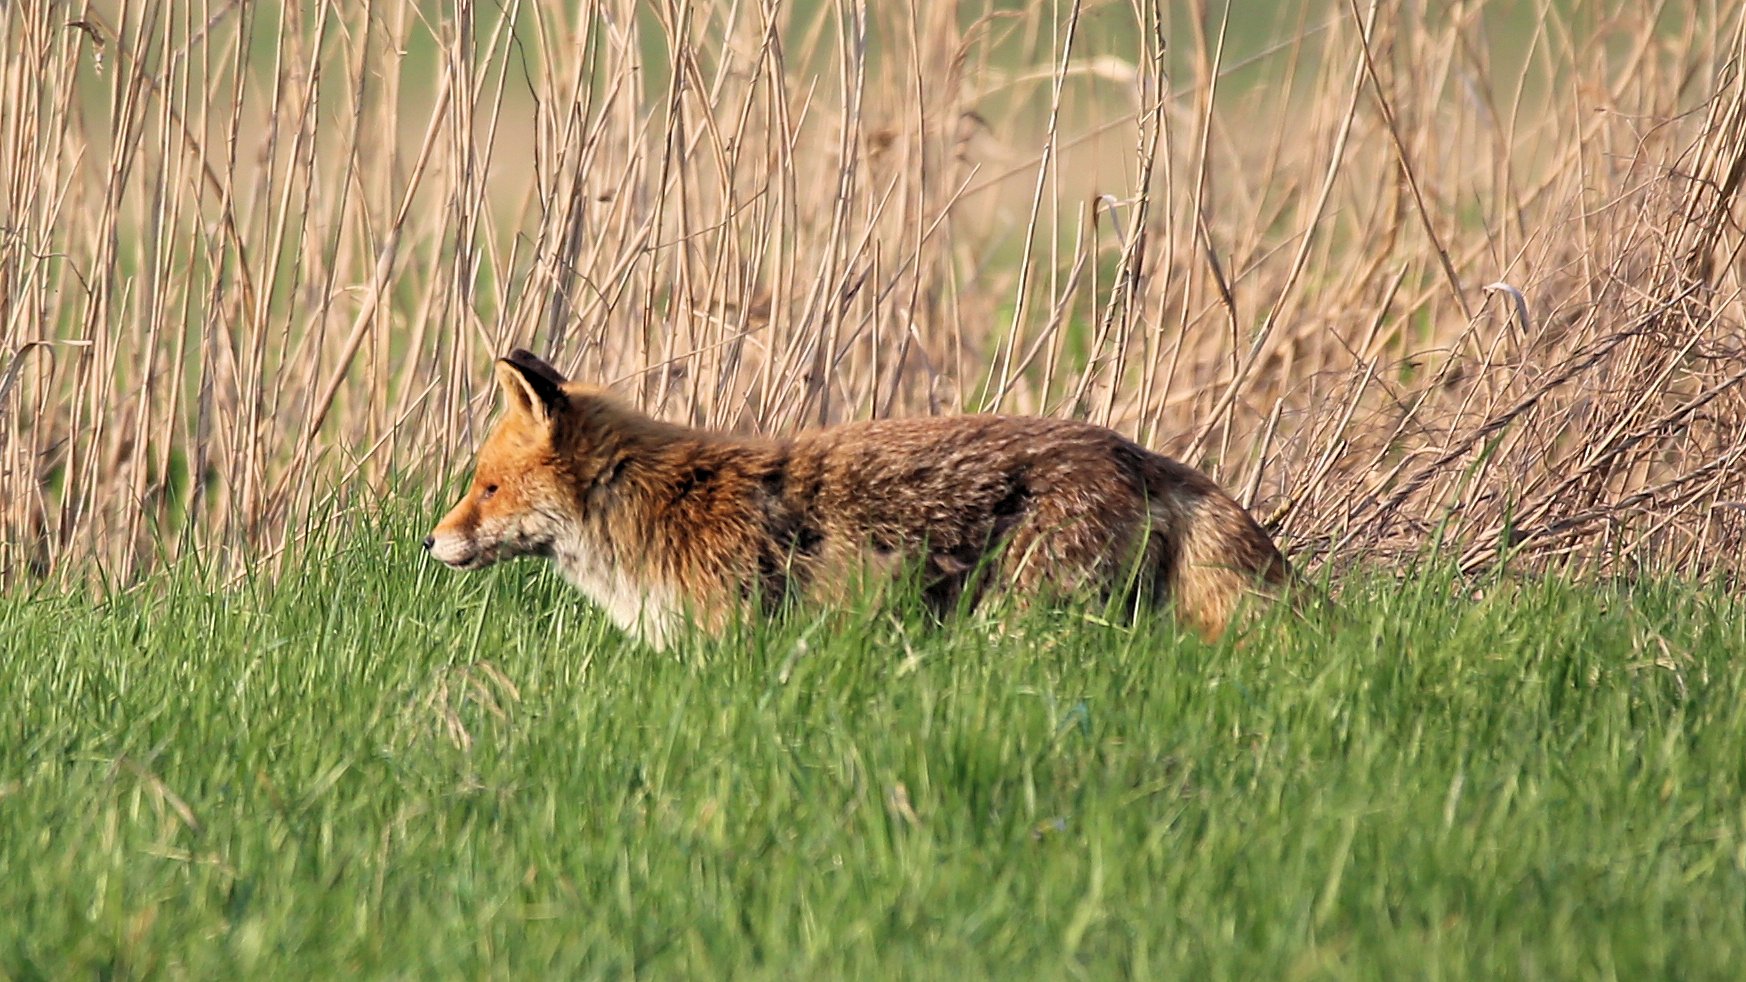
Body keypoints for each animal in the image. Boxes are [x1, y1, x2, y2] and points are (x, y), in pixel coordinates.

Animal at [424, 347, 1299, 646]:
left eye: (488, 488)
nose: (428, 542)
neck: (663, 502)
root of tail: (1132, 449)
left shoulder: (727, 643)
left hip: (1024, 621)